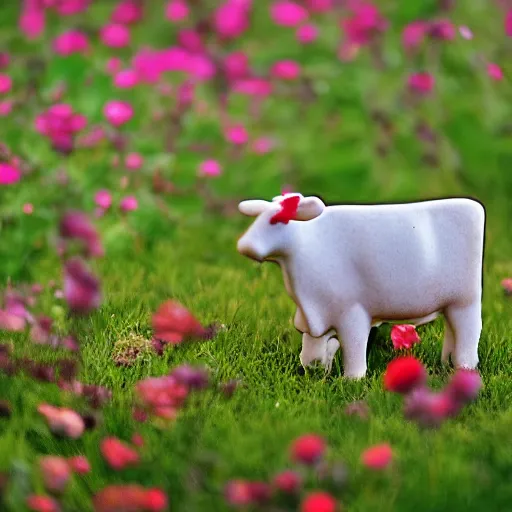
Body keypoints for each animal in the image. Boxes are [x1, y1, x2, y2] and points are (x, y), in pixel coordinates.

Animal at [236, 194, 484, 378]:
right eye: (257, 219)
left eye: (277, 220)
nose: (245, 246)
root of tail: (472, 206)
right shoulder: (317, 312)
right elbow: (311, 350)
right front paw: (317, 368)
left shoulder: (351, 311)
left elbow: (353, 347)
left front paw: (351, 379)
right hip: (450, 304)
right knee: (453, 331)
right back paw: (446, 363)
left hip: (466, 301)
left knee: (469, 332)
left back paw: (464, 367)